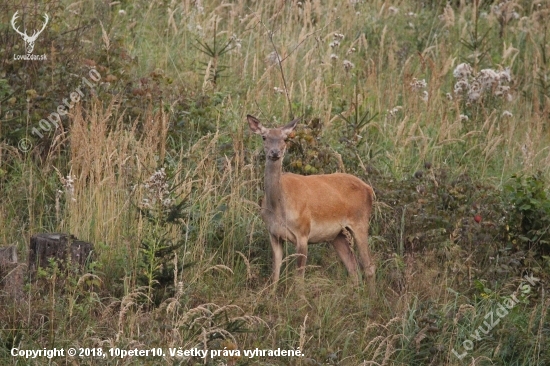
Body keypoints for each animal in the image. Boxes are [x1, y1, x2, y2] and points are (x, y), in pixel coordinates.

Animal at [248, 114, 378, 288]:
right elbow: (275, 274)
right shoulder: (274, 234)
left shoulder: (303, 232)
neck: (278, 206)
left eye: (285, 139)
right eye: (264, 137)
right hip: (337, 234)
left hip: (360, 221)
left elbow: (299, 279)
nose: (275, 153)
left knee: (369, 267)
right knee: (353, 267)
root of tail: (369, 189)